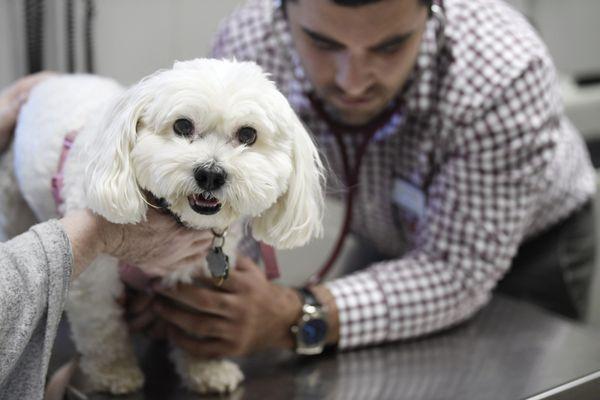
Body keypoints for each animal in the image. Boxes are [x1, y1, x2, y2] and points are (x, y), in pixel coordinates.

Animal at [3, 58, 324, 394]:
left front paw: (205, 369)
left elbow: (198, 329)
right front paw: (114, 371)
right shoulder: (94, 282)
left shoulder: (198, 271)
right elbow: (103, 330)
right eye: (182, 126)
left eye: (248, 134)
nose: (210, 174)